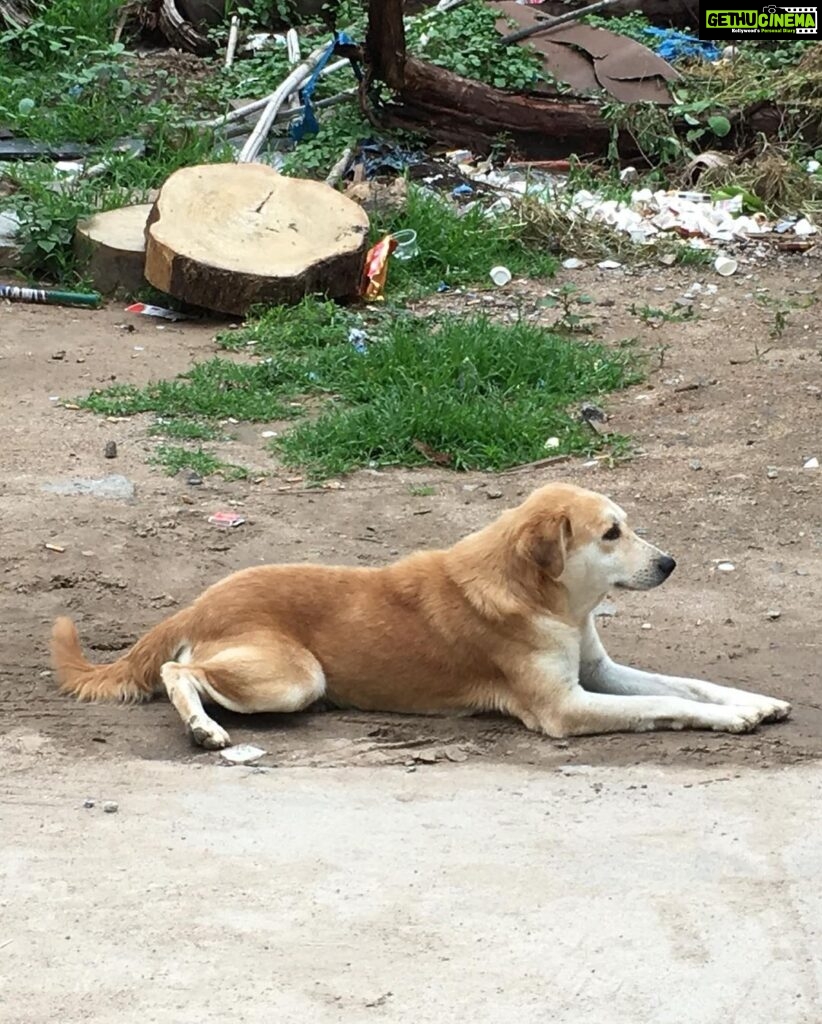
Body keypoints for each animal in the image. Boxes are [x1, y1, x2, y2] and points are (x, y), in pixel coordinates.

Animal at [49, 479, 790, 745]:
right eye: (611, 534)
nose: (670, 563)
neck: (547, 599)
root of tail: (198, 602)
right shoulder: (565, 708)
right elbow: (663, 703)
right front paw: (731, 720)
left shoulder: (597, 672)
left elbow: (688, 684)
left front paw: (754, 701)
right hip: (295, 678)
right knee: (178, 674)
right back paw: (204, 729)